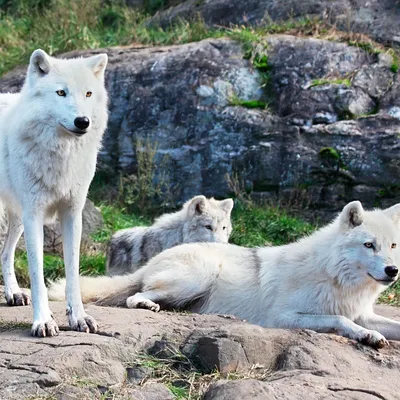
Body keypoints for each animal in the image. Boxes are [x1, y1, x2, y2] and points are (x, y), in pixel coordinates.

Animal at [0, 49, 108, 338]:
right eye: (61, 93)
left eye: (88, 94)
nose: (83, 121)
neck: (60, 154)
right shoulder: (34, 216)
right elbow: (38, 275)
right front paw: (43, 321)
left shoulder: (71, 213)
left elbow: (73, 271)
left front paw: (78, 318)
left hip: (17, 218)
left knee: (5, 253)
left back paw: (13, 293)